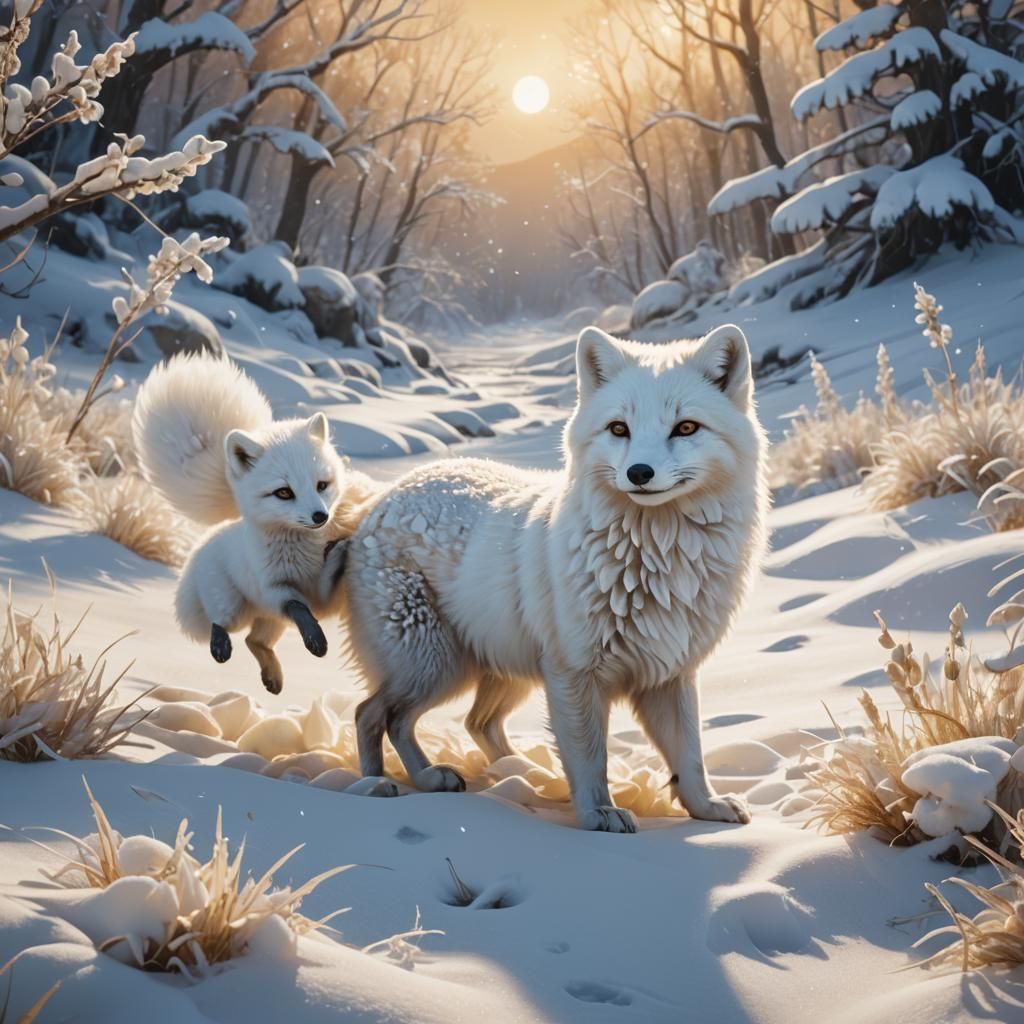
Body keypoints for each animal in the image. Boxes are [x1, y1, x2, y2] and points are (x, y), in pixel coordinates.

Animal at [132, 354, 379, 695]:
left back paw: (272, 677)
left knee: (254, 640)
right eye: (284, 492)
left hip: (271, 622)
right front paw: (315, 638)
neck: (303, 553)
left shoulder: (325, 595)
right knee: (222, 624)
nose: (320, 517)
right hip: (236, 606)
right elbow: (299, 607)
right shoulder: (275, 589)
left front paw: (338, 550)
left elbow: (326, 579)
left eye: (322, 485)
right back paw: (221, 647)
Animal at [328, 324, 768, 831]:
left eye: (686, 428)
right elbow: (590, 757)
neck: (656, 559)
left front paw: (707, 809)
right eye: (619, 428)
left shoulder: (669, 673)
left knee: (462, 721)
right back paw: (377, 785)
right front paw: (600, 813)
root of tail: (378, 500)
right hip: (434, 665)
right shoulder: (575, 673)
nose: (639, 472)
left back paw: (486, 775)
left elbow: (690, 756)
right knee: (371, 713)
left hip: (492, 671)